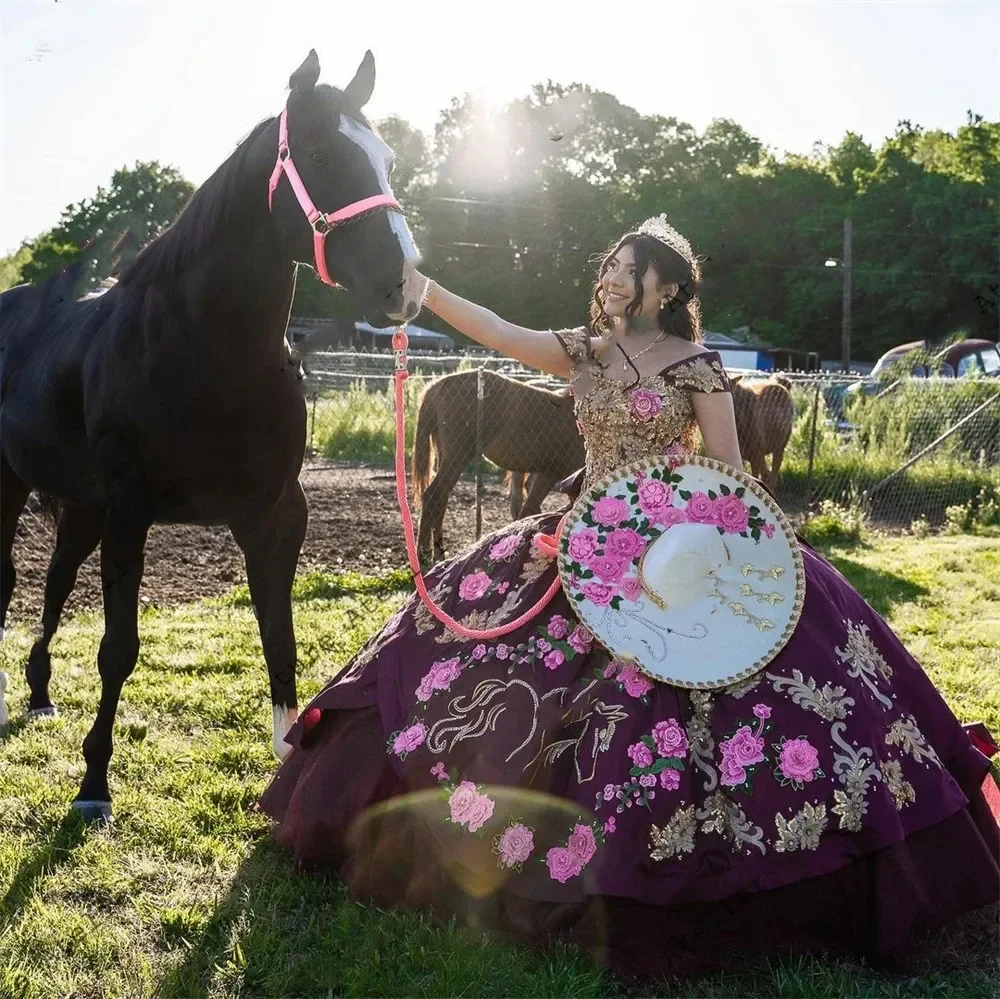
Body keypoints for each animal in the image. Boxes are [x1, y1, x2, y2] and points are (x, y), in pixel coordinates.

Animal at [0, 48, 418, 820]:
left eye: (387, 159)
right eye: (321, 155)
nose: (403, 284)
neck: (207, 352)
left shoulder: (274, 514)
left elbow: (279, 638)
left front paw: (288, 758)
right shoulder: (130, 510)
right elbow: (118, 647)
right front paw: (94, 785)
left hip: (80, 506)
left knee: (53, 582)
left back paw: (40, 694)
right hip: (15, 488)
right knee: (13, 579)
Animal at [414, 372, 584, 560]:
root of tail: (437, 386)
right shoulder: (548, 473)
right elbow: (530, 511)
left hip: (446, 456)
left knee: (441, 500)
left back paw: (438, 553)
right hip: (457, 457)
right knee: (433, 496)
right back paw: (423, 554)